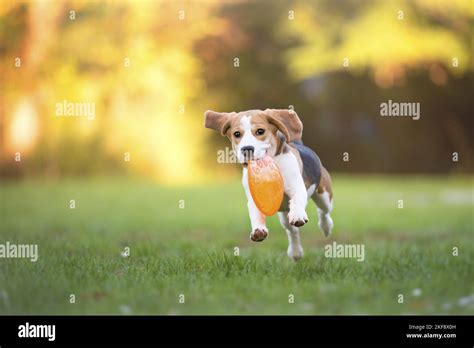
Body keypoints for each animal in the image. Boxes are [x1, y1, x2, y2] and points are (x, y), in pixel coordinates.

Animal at [204, 109, 334, 260]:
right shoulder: (253, 199)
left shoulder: (297, 188)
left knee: (323, 211)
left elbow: (297, 200)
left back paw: (326, 227)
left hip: (323, 196)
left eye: (260, 131)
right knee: (292, 231)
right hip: (285, 216)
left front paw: (298, 215)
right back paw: (295, 252)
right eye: (237, 134)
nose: (247, 149)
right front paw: (258, 230)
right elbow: (256, 214)